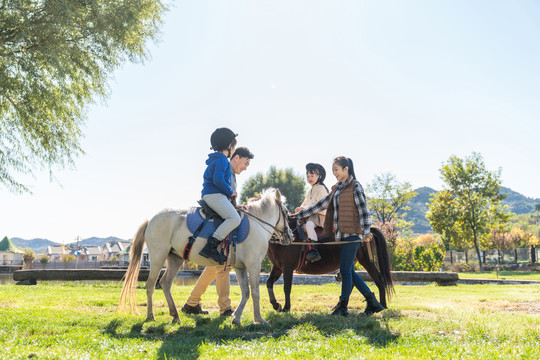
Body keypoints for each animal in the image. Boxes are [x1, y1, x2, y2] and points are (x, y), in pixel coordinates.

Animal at [120, 188, 294, 326]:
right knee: (150, 285)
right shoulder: (253, 264)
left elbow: (245, 292)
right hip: (158, 257)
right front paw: (259, 319)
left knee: (165, 283)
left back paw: (175, 315)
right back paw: (151, 316)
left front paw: (236, 318)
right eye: (286, 213)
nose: (290, 236)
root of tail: (152, 219)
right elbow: (255, 292)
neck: (257, 224)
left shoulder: (240, 267)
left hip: (175, 259)